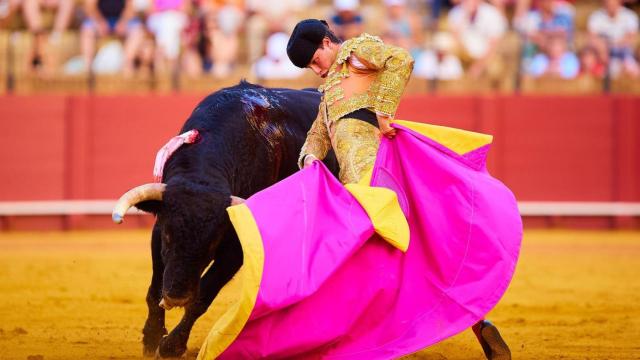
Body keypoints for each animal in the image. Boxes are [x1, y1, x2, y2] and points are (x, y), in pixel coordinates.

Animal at [114, 82, 340, 358]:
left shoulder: (235, 248)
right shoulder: (158, 232)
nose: (177, 296)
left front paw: (171, 346)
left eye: (212, 243)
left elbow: (203, 296)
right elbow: (154, 287)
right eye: (168, 234)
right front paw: (152, 338)